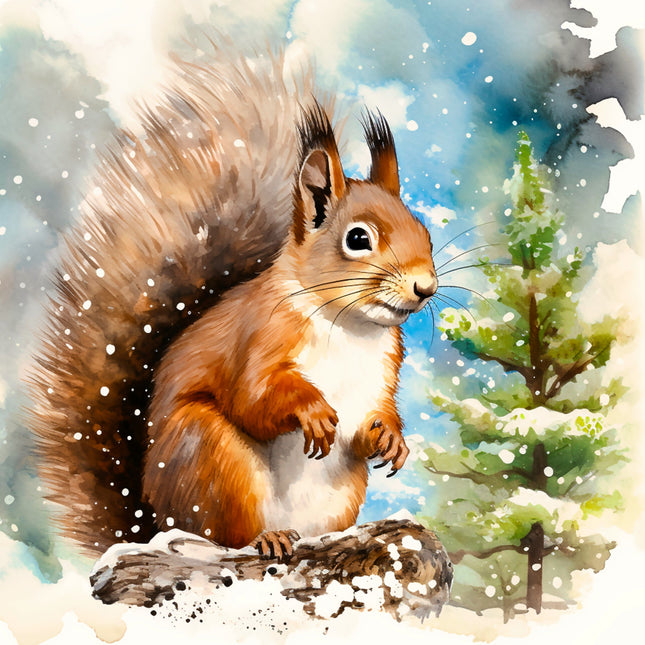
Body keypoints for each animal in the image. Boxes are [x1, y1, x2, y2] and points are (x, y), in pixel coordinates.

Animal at [27, 42, 437, 560]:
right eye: (358, 238)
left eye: (423, 230)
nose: (426, 287)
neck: (349, 326)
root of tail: (153, 522)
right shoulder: (258, 336)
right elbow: (252, 398)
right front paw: (313, 411)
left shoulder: (384, 371)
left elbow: (373, 418)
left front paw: (389, 436)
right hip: (212, 456)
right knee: (226, 535)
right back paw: (269, 538)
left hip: (340, 494)